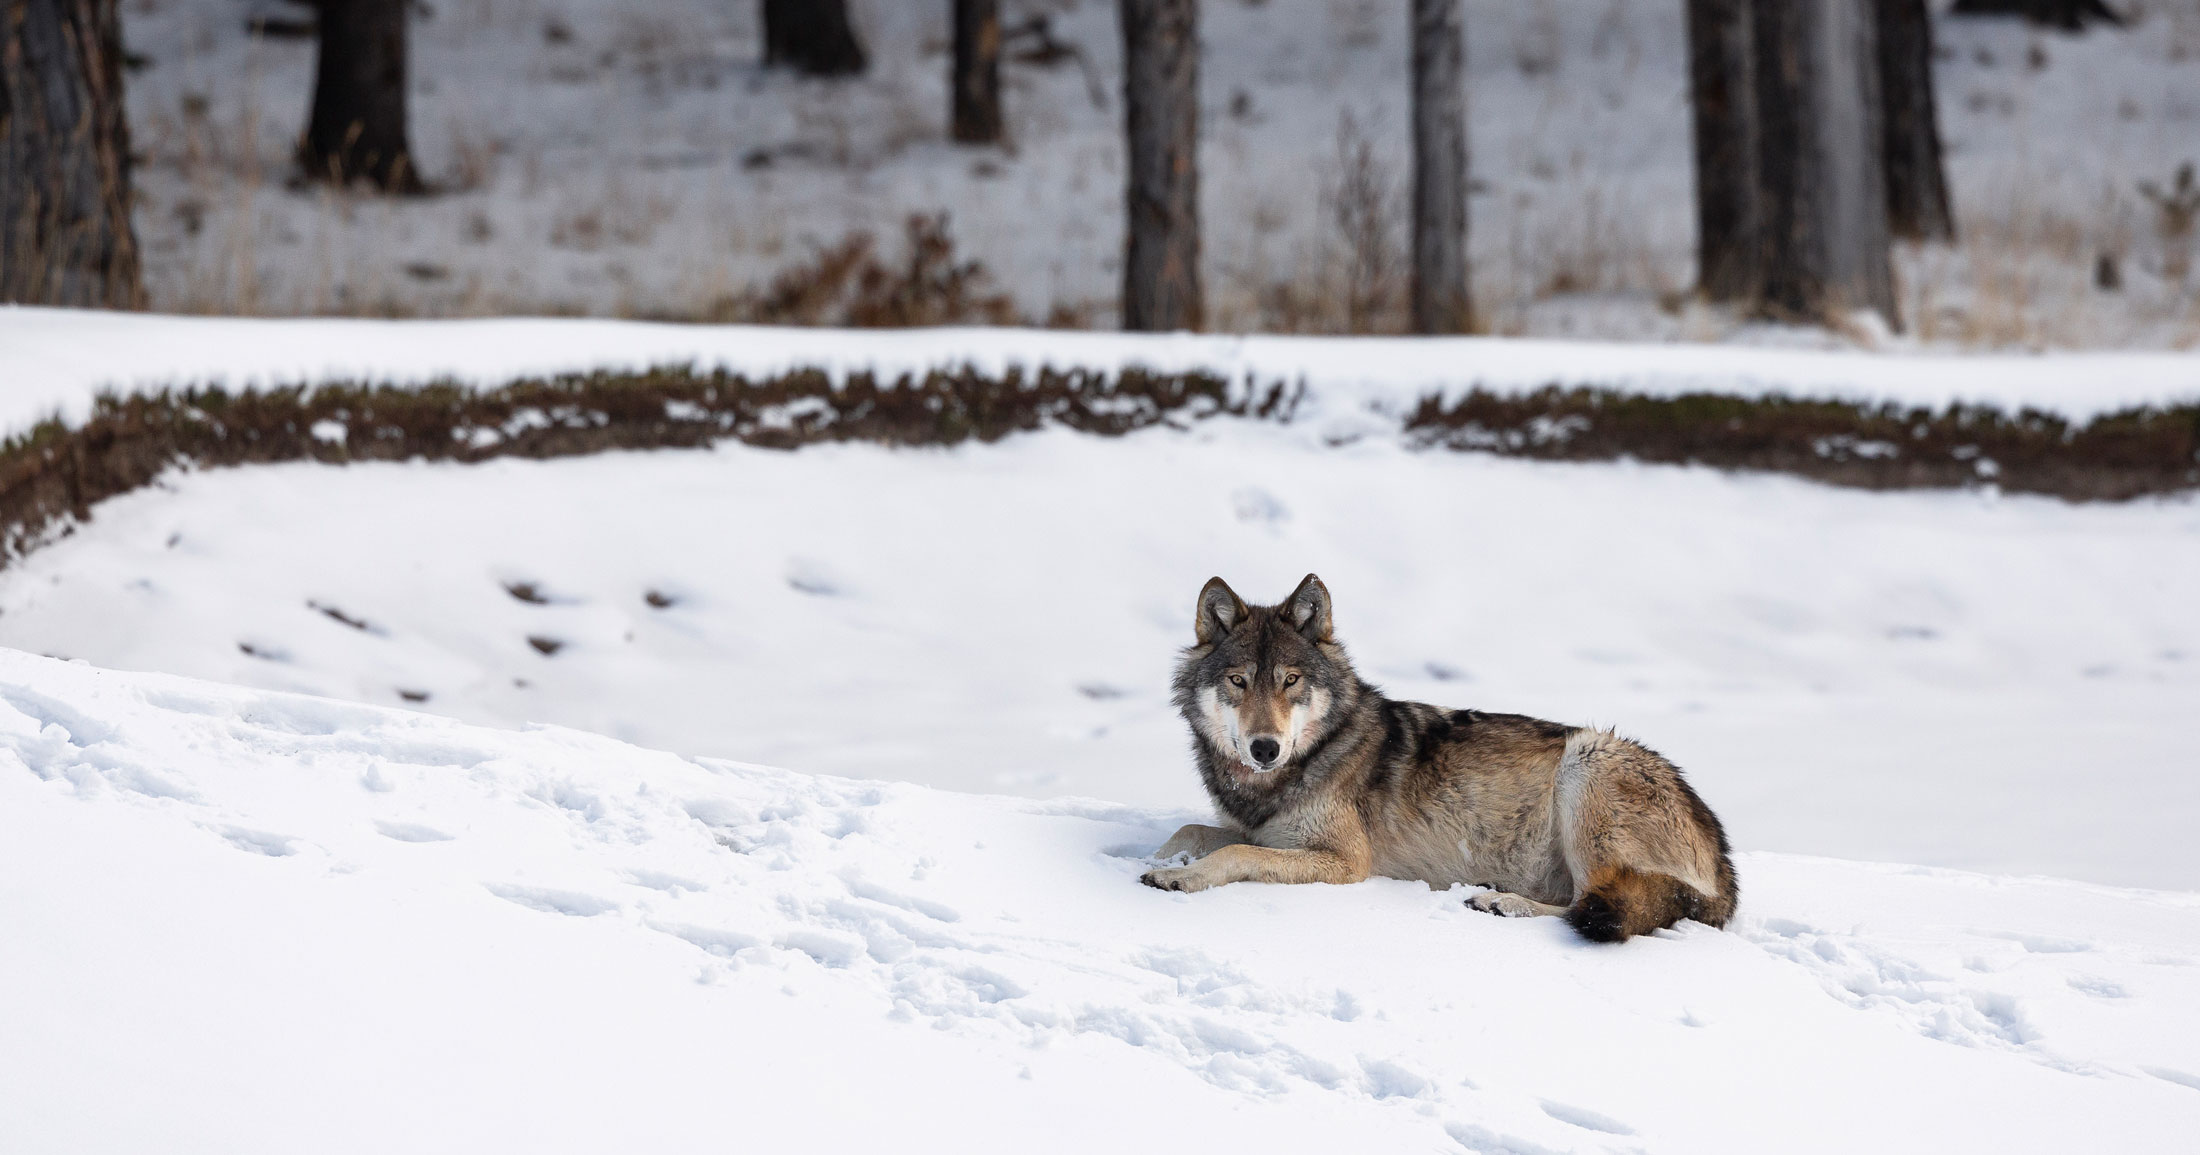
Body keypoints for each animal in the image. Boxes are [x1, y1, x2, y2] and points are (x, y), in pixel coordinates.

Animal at [1141, 574, 1737, 942]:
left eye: (1290, 681)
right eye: (1239, 682)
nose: (1265, 747)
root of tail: (1725, 867)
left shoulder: (1345, 861)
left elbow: (1235, 852)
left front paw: (1178, 878)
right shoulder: (1262, 830)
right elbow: (1193, 832)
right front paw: (1163, 859)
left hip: (1586, 762)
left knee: (1588, 905)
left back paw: (1503, 904)